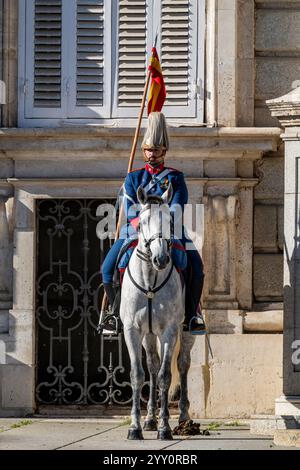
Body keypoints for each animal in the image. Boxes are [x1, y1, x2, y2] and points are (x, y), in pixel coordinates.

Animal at [120, 185, 196, 440]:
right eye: (142, 221)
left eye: (170, 221)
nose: (161, 258)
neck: (150, 281)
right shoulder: (132, 330)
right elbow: (138, 374)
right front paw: (135, 427)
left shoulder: (170, 331)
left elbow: (165, 376)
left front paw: (165, 428)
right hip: (149, 335)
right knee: (152, 366)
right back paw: (150, 419)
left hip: (187, 332)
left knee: (182, 364)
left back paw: (183, 417)